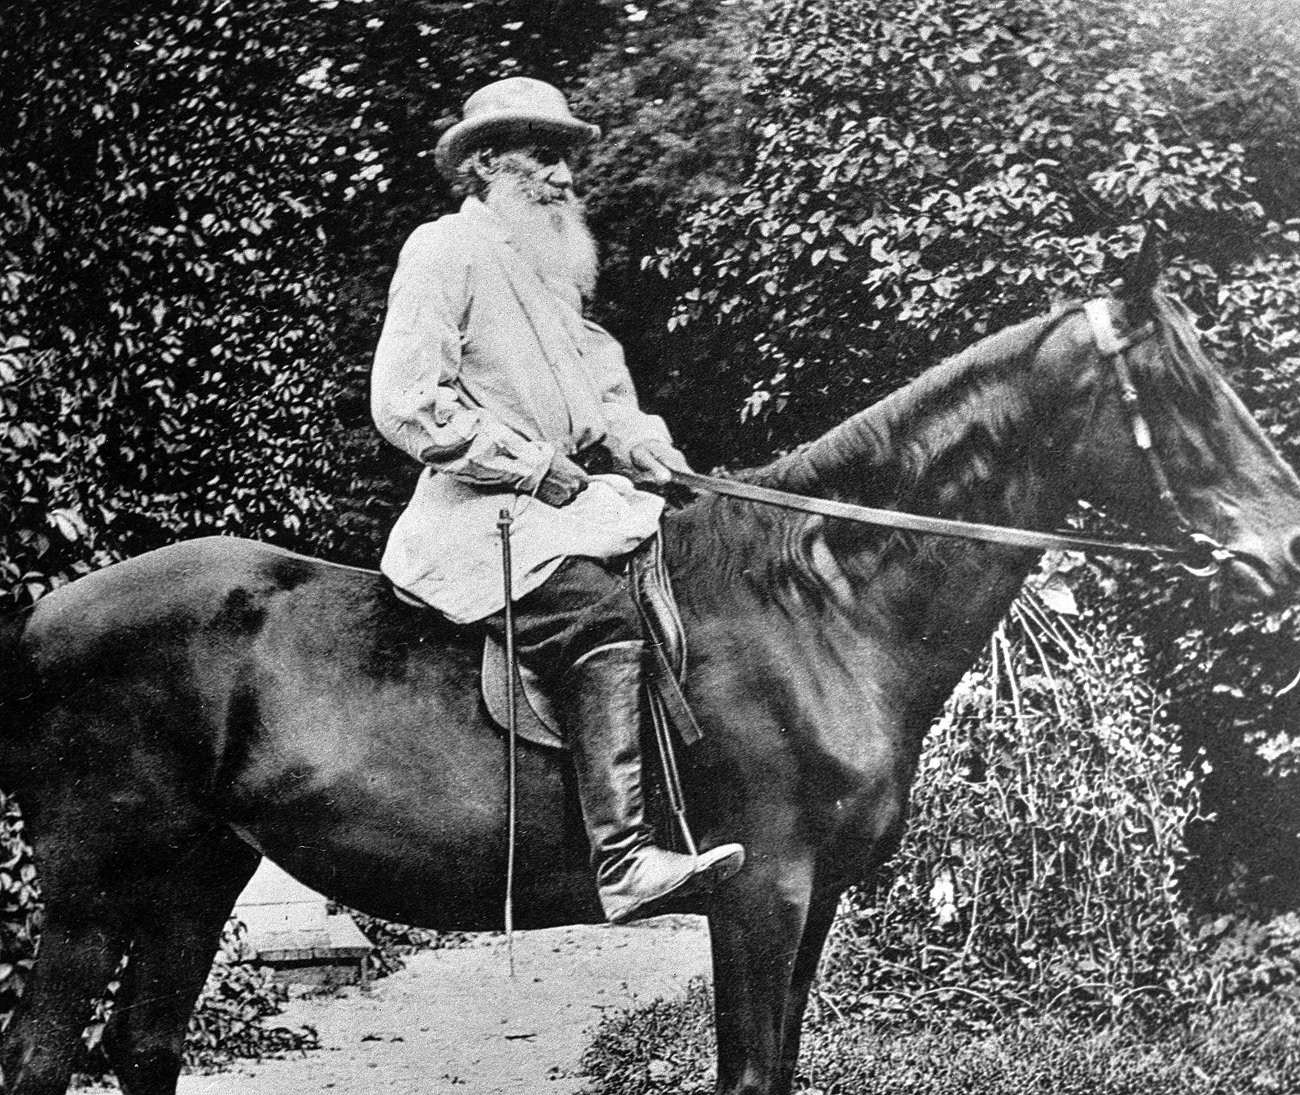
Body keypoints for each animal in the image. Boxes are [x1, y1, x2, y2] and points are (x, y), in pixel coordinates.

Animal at [2, 256, 1300, 1092]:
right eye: (1181, 391)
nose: (1284, 551)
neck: (817, 603)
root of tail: (41, 617)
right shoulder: (762, 894)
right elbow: (746, 1076)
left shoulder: (811, 903)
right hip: (88, 888)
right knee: (44, 1054)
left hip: (196, 873)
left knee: (145, 1049)